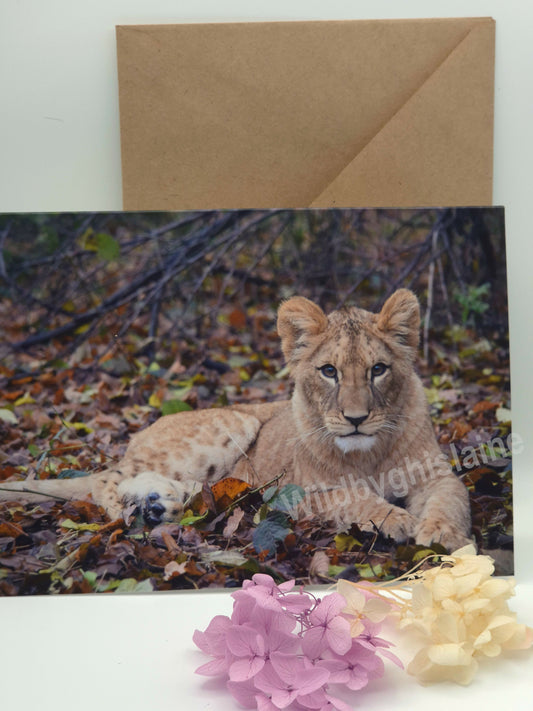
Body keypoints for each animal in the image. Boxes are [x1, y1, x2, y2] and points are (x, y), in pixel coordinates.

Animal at [0, 289, 471, 551]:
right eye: (329, 371)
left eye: (378, 370)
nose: (356, 419)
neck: (368, 453)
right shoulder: (298, 493)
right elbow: (352, 497)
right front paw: (395, 520)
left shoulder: (434, 474)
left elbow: (453, 498)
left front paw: (441, 535)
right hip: (235, 423)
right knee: (107, 480)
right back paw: (136, 511)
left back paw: (162, 503)